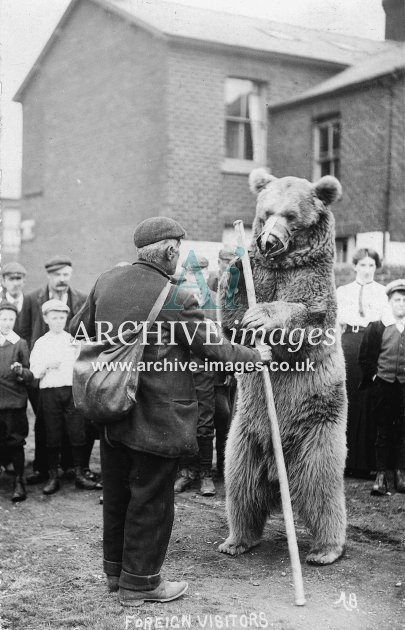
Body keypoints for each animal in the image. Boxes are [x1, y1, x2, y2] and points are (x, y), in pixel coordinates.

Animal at [218, 169, 348, 568]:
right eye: (267, 211)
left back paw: (326, 549)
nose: (268, 241)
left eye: (291, 215)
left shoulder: (312, 284)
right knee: (240, 487)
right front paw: (232, 260)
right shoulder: (261, 275)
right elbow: (232, 320)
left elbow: (305, 316)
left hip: (318, 425)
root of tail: (278, 475)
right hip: (244, 434)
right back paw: (236, 540)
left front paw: (264, 316)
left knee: (322, 487)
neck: (282, 265)